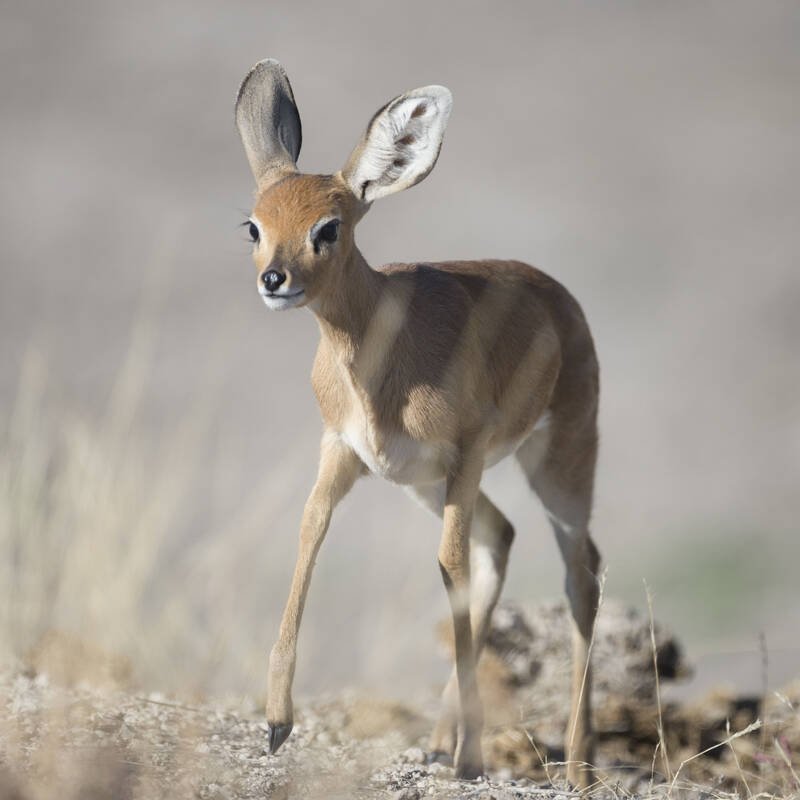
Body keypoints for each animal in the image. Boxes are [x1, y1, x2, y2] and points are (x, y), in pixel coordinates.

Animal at [236, 59, 600, 784]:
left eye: (329, 226)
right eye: (254, 225)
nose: (275, 280)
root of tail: (564, 303)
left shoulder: (464, 456)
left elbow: (448, 565)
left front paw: (474, 757)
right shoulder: (342, 453)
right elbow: (309, 540)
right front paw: (277, 722)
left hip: (555, 468)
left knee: (582, 574)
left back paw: (573, 766)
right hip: (428, 487)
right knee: (502, 538)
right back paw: (440, 742)